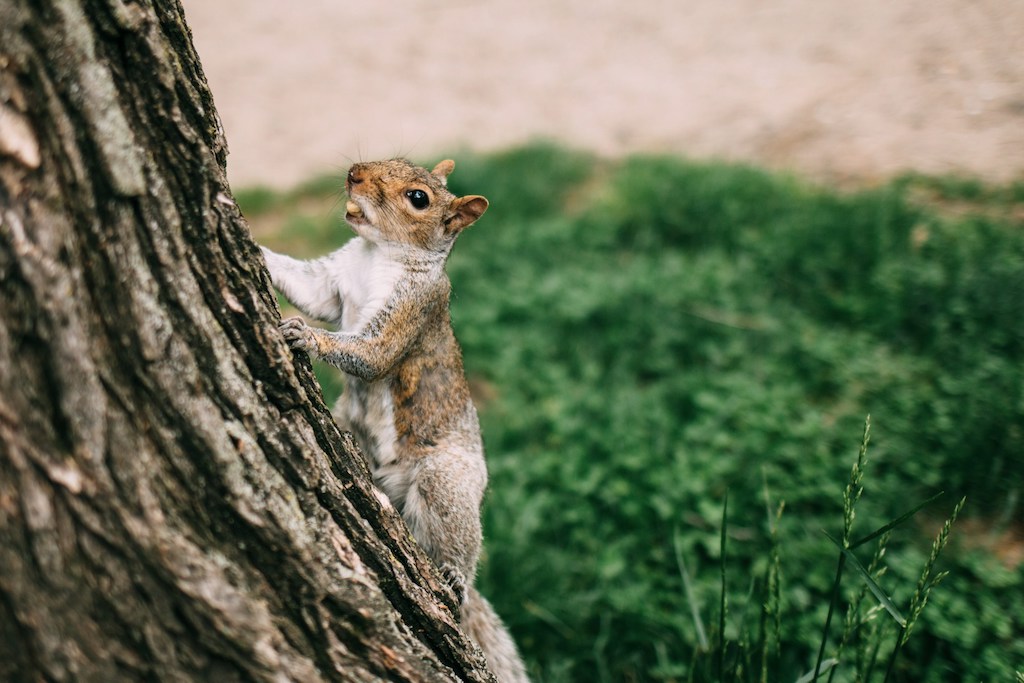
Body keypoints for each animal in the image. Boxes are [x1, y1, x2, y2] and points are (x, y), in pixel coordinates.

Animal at [260, 158, 529, 683]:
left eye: (418, 198)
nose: (354, 173)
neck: (377, 254)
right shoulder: (334, 278)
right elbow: (307, 286)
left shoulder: (412, 307)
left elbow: (372, 352)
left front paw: (308, 337)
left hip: (445, 479)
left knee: (458, 539)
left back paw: (454, 577)